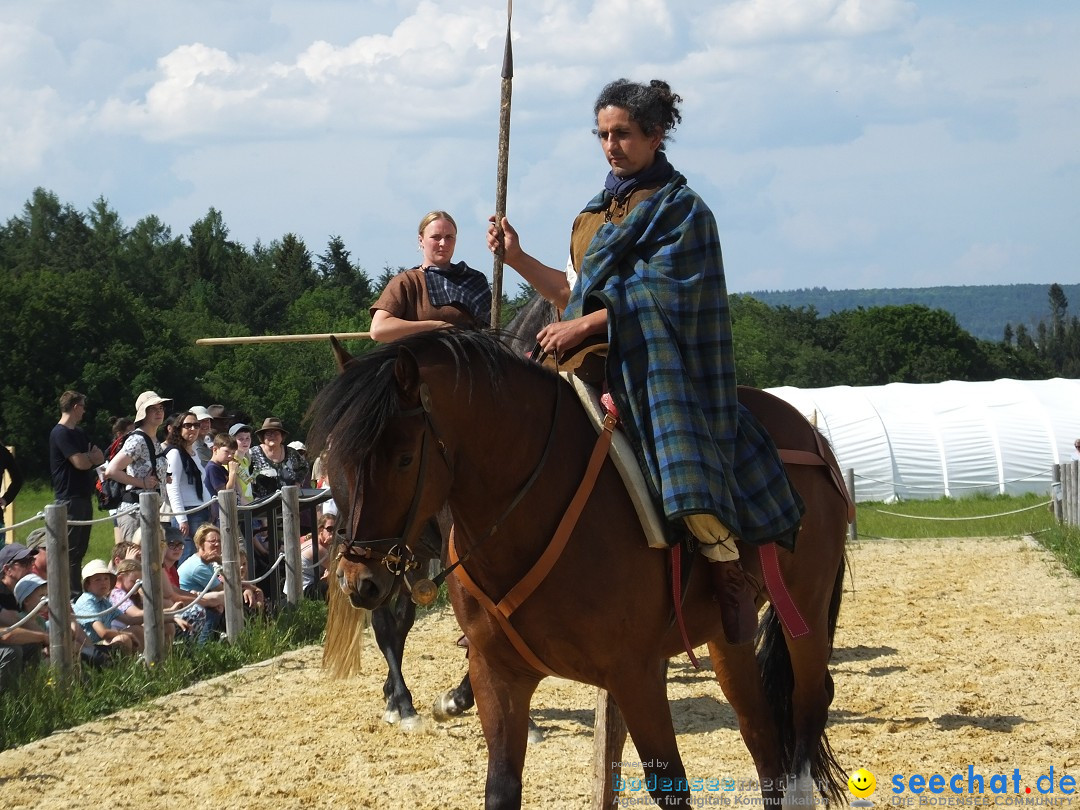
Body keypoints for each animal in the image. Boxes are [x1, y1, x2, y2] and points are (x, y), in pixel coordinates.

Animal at [308, 330, 846, 810]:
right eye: (336, 459)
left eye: (403, 459)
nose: (358, 581)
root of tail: (811, 433)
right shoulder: (497, 674)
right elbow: (501, 789)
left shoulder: (636, 674)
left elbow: (669, 786)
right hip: (726, 637)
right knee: (762, 737)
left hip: (806, 612)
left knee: (808, 707)